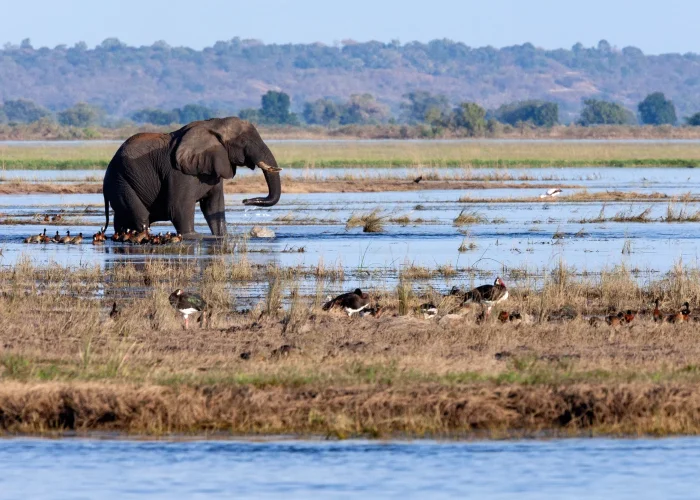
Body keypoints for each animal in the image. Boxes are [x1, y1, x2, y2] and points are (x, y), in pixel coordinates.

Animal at [102, 117, 282, 237]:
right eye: (244, 141)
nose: (245, 201)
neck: (214, 124)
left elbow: (213, 207)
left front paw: (221, 235)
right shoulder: (179, 172)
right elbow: (178, 208)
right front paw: (193, 237)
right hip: (121, 182)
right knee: (141, 217)